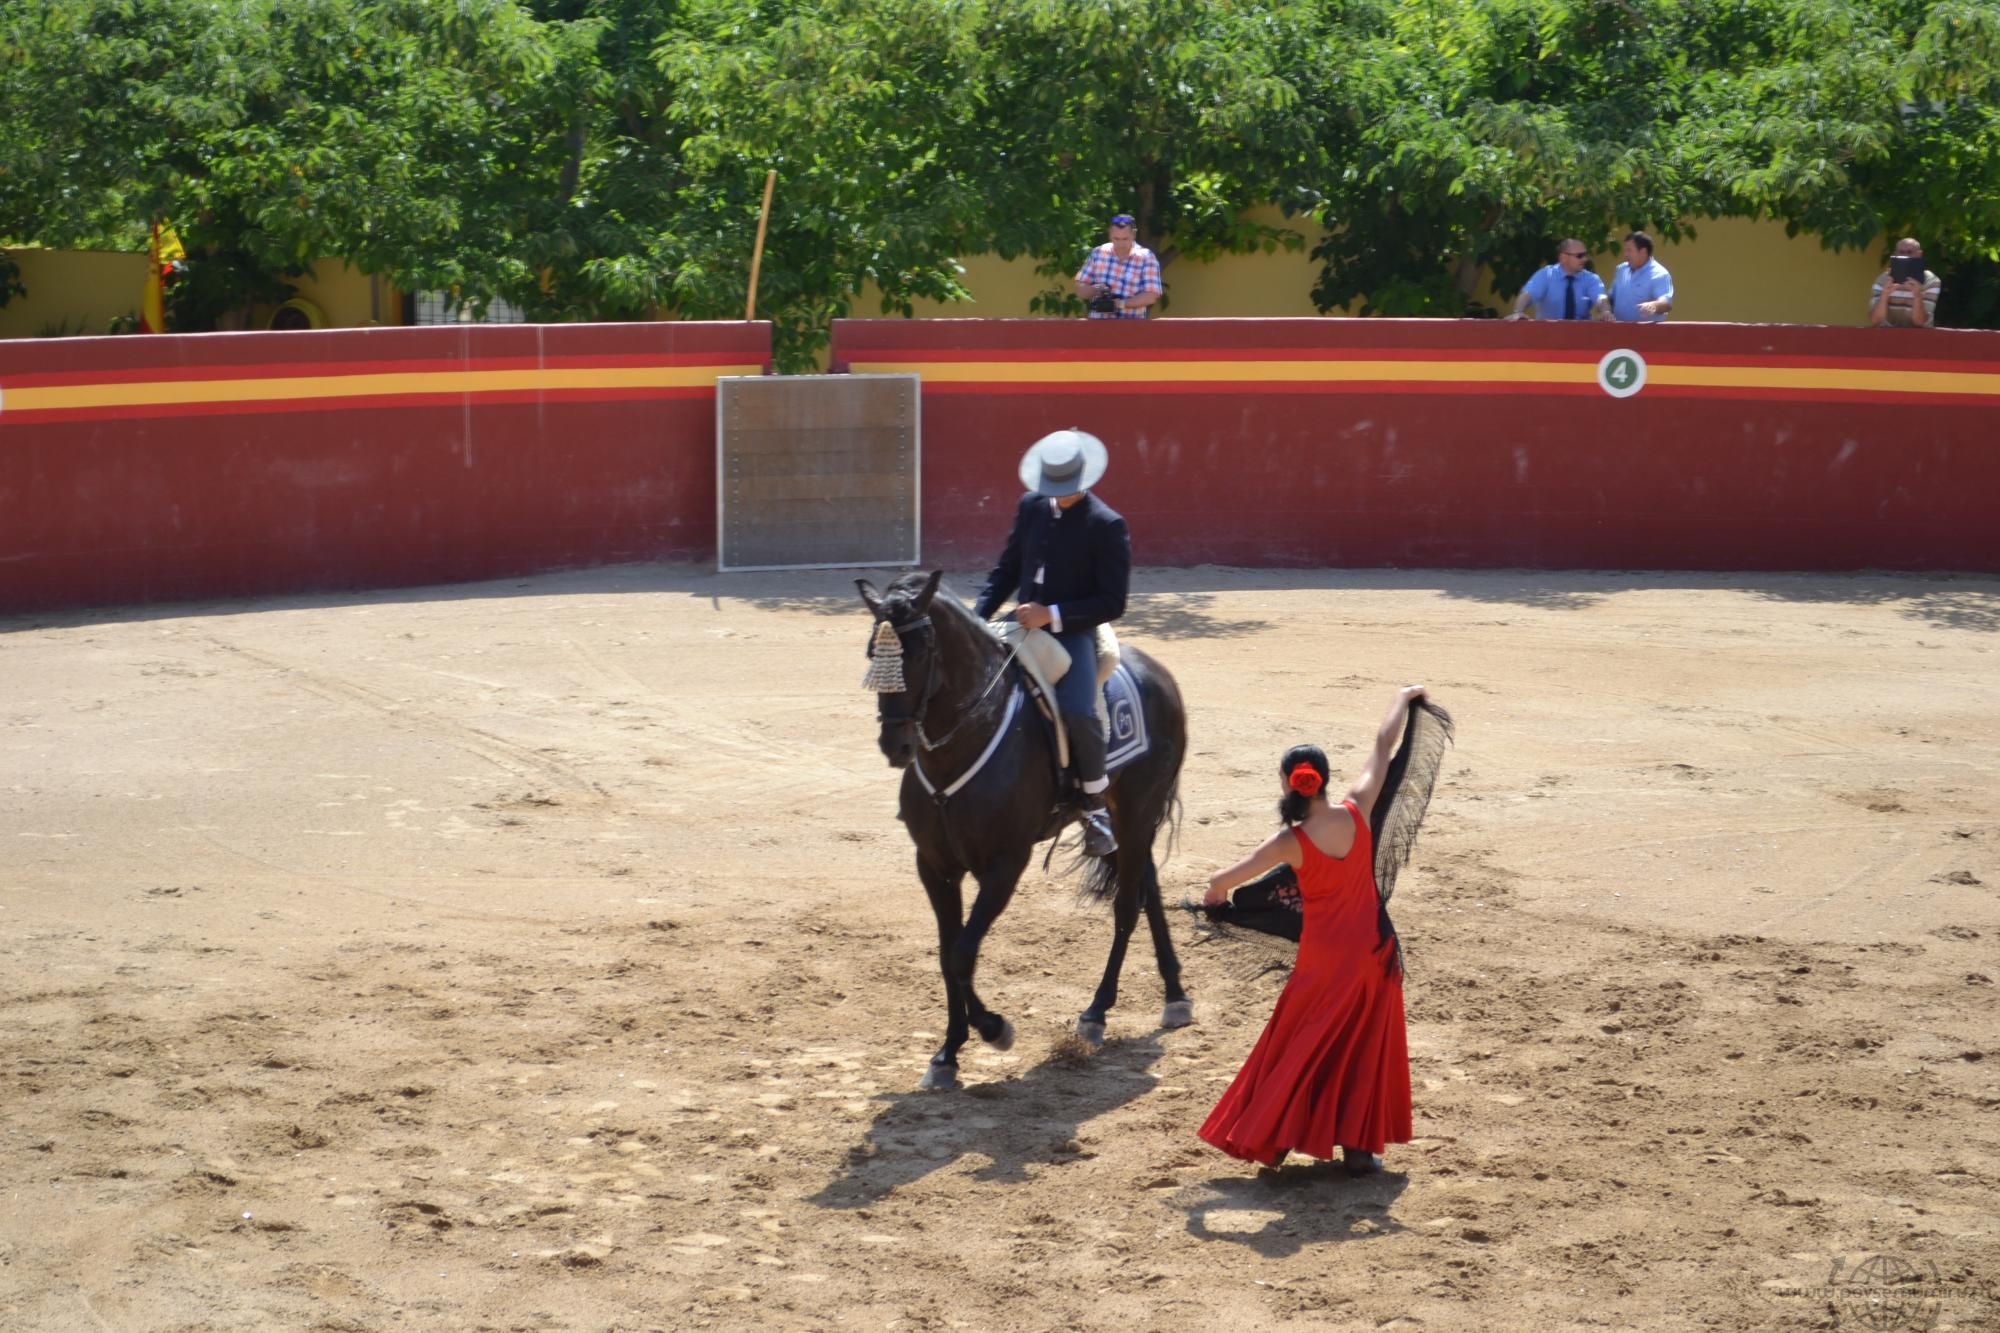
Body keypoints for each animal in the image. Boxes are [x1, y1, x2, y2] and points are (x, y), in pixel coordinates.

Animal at [856, 564, 1184, 1088]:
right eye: (873, 649)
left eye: (921, 651)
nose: (896, 744)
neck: (963, 743)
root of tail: (1159, 672)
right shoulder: (934, 865)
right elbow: (947, 954)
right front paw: (947, 1054)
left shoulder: (1005, 864)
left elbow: (962, 952)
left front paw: (994, 1029)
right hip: (1125, 818)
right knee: (1147, 887)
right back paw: (1175, 995)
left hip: (1139, 810)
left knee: (1126, 907)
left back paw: (1097, 1012)